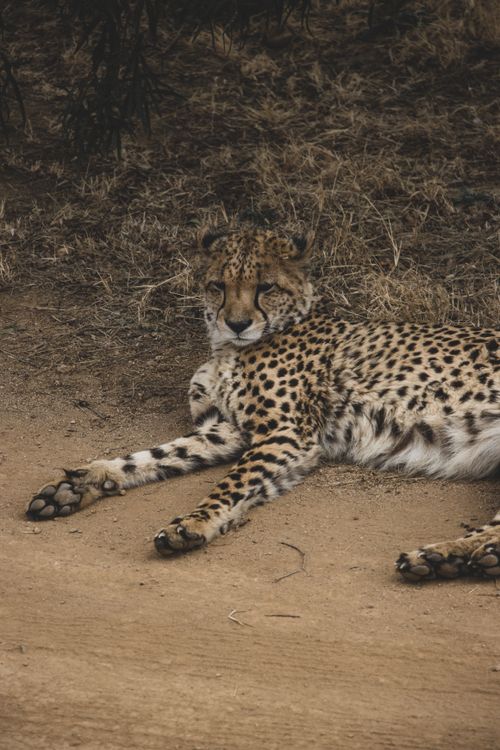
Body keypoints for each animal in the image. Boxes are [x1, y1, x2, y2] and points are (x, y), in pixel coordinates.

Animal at [26, 228, 500, 582]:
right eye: (218, 286)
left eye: (265, 288)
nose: (237, 322)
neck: (229, 348)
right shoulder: (226, 430)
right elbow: (154, 455)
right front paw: (81, 483)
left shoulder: (285, 433)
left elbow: (232, 483)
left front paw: (191, 524)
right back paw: (455, 559)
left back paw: (447, 555)